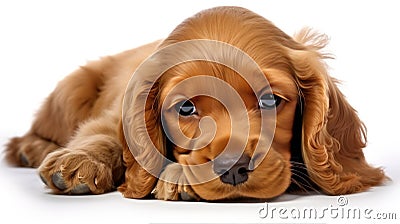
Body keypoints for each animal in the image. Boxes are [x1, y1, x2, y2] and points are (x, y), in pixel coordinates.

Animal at [3, 6, 384, 200]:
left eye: (271, 99)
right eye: (186, 108)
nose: (234, 169)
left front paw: (177, 178)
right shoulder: (116, 114)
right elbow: (104, 134)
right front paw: (80, 162)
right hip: (72, 88)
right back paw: (31, 149)